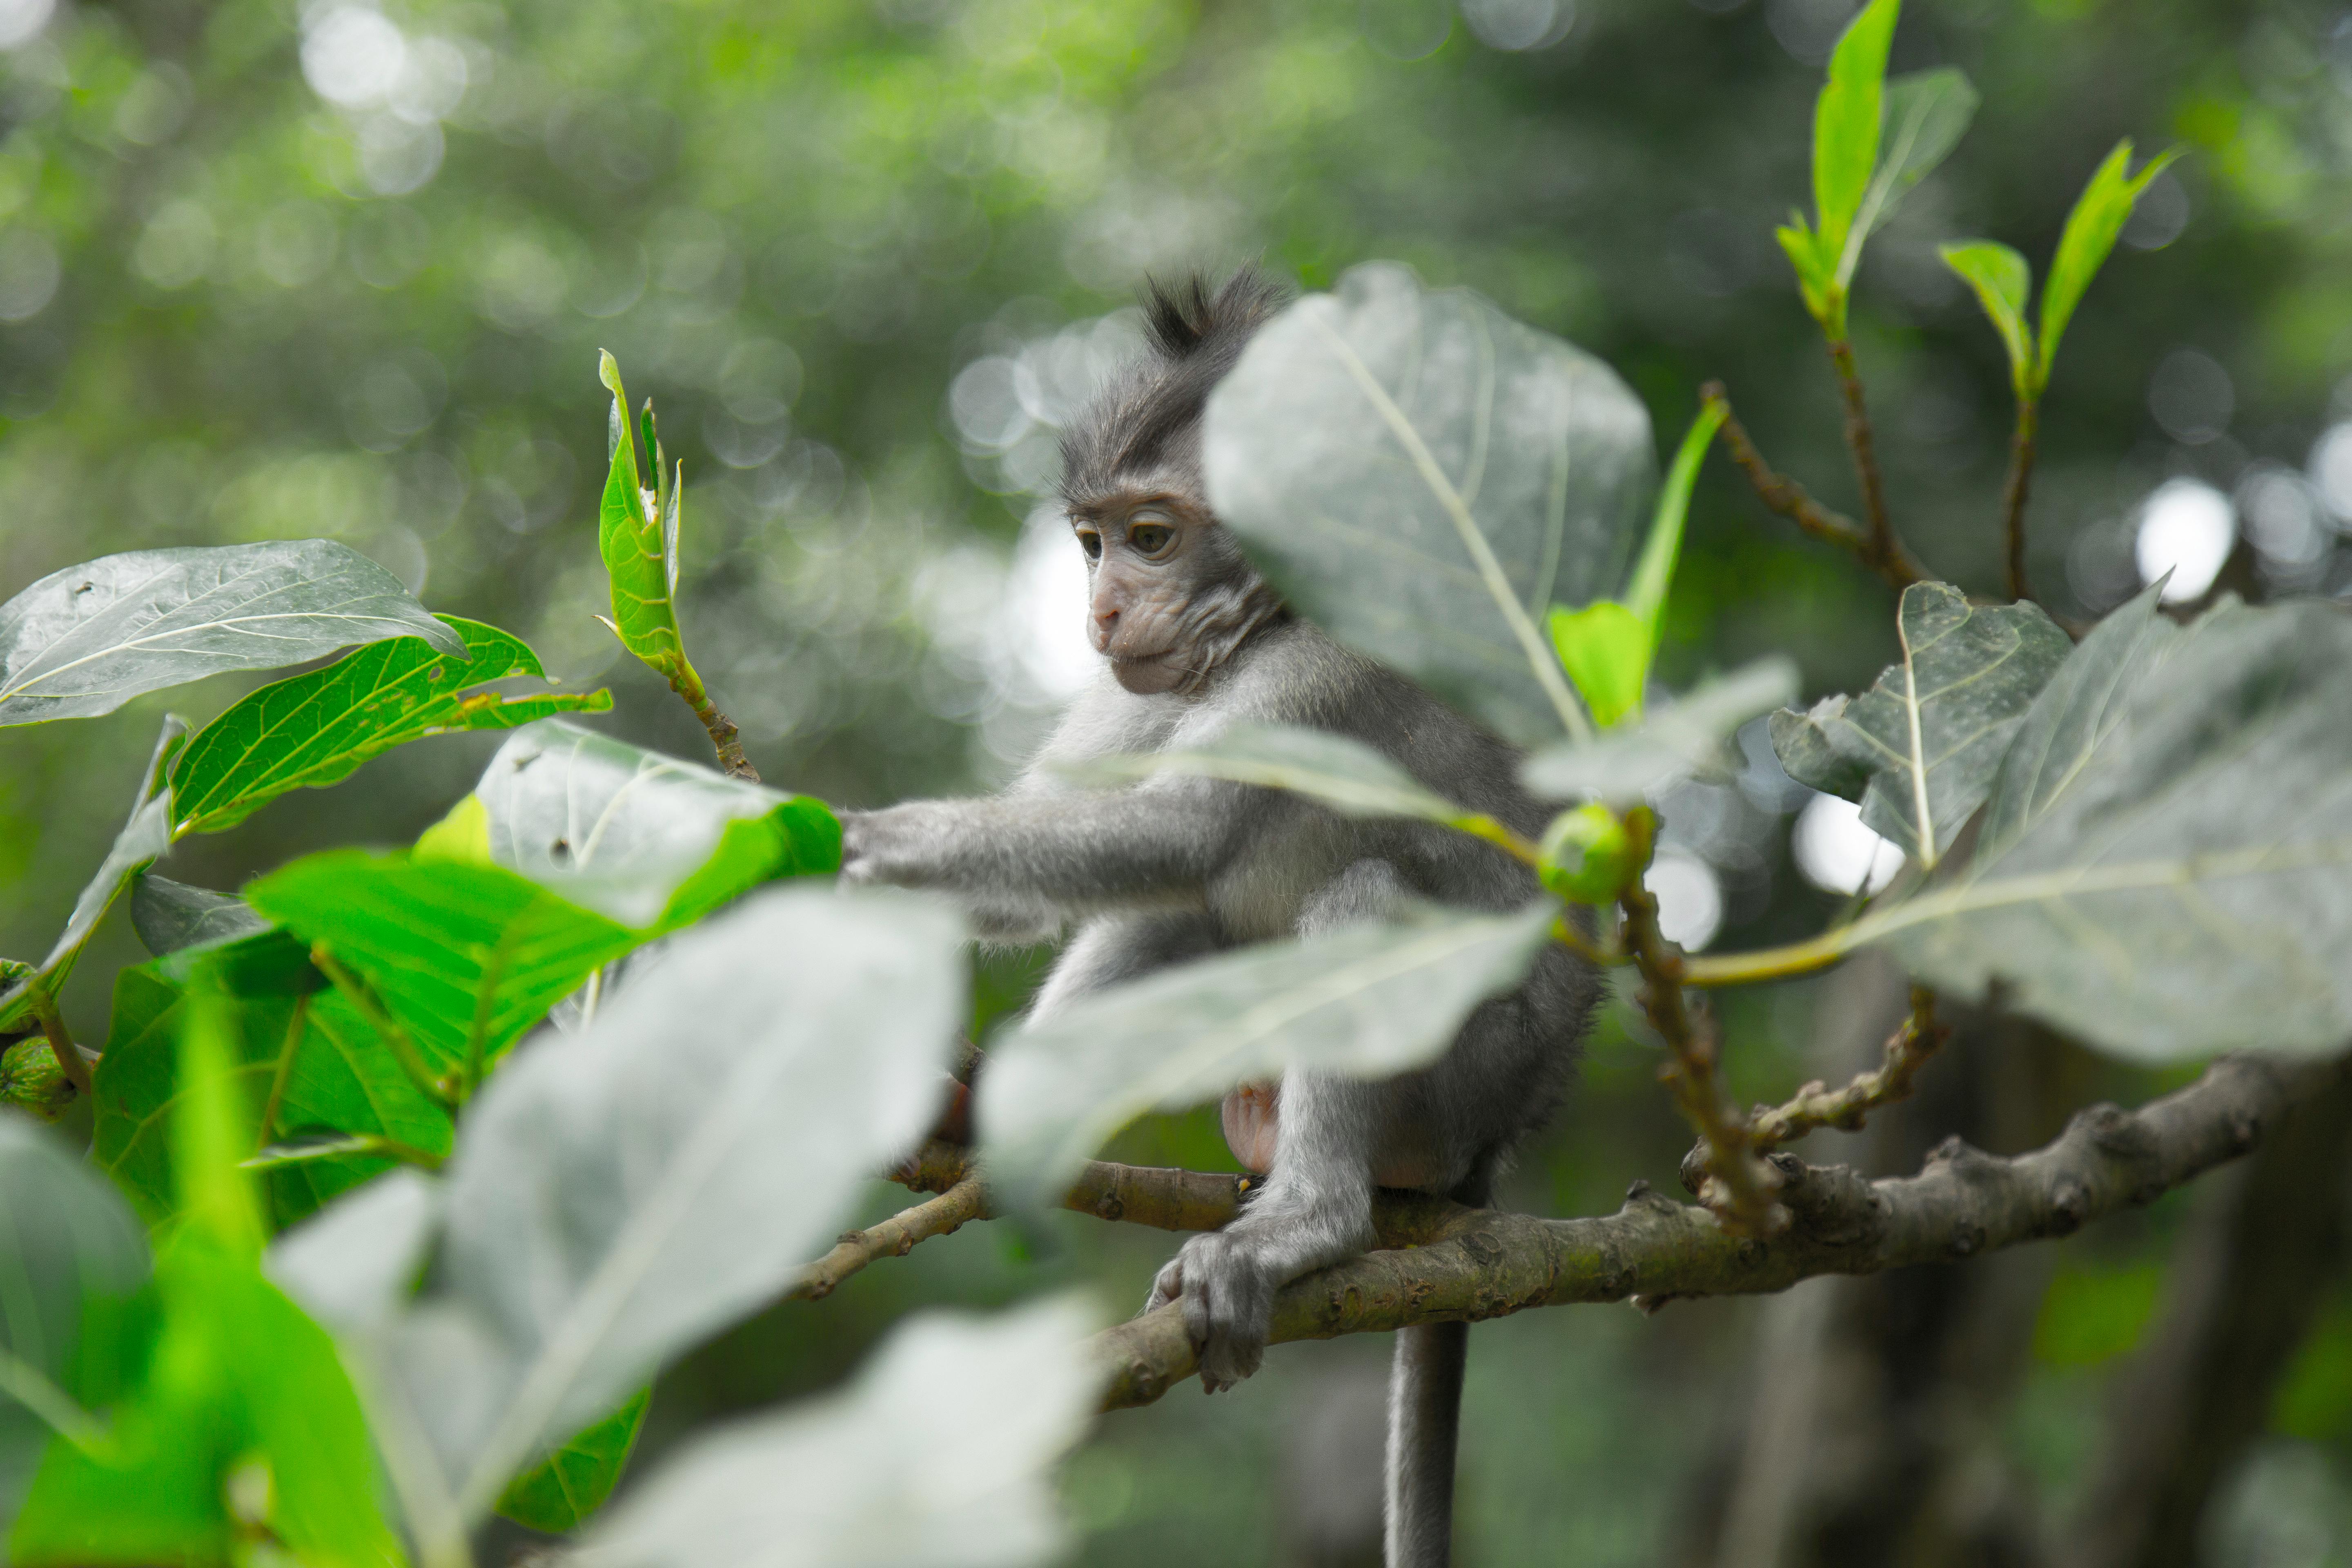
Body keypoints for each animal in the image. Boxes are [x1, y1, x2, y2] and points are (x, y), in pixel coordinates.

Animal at [837, 270, 1590, 1568]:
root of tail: (1497, 1145)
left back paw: (1304, 1226)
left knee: (1357, 898)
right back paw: (994, 1112)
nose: (1098, 612)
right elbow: (1087, 852)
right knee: (1182, 920)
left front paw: (857, 845)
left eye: (1154, 536)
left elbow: (1178, 829)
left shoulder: (1328, 662)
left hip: (1465, 1079)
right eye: (1092, 541)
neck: (1266, 622)